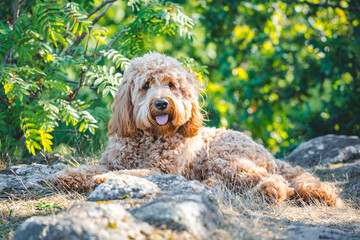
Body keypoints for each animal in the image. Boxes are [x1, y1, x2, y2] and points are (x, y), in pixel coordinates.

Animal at [52, 52, 344, 206]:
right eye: (146, 85)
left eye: (171, 85)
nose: (161, 103)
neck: (150, 138)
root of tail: (267, 153)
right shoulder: (114, 160)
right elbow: (90, 168)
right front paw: (68, 175)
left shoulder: (164, 170)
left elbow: (133, 172)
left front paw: (104, 180)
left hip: (226, 158)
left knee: (277, 181)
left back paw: (268, 192)